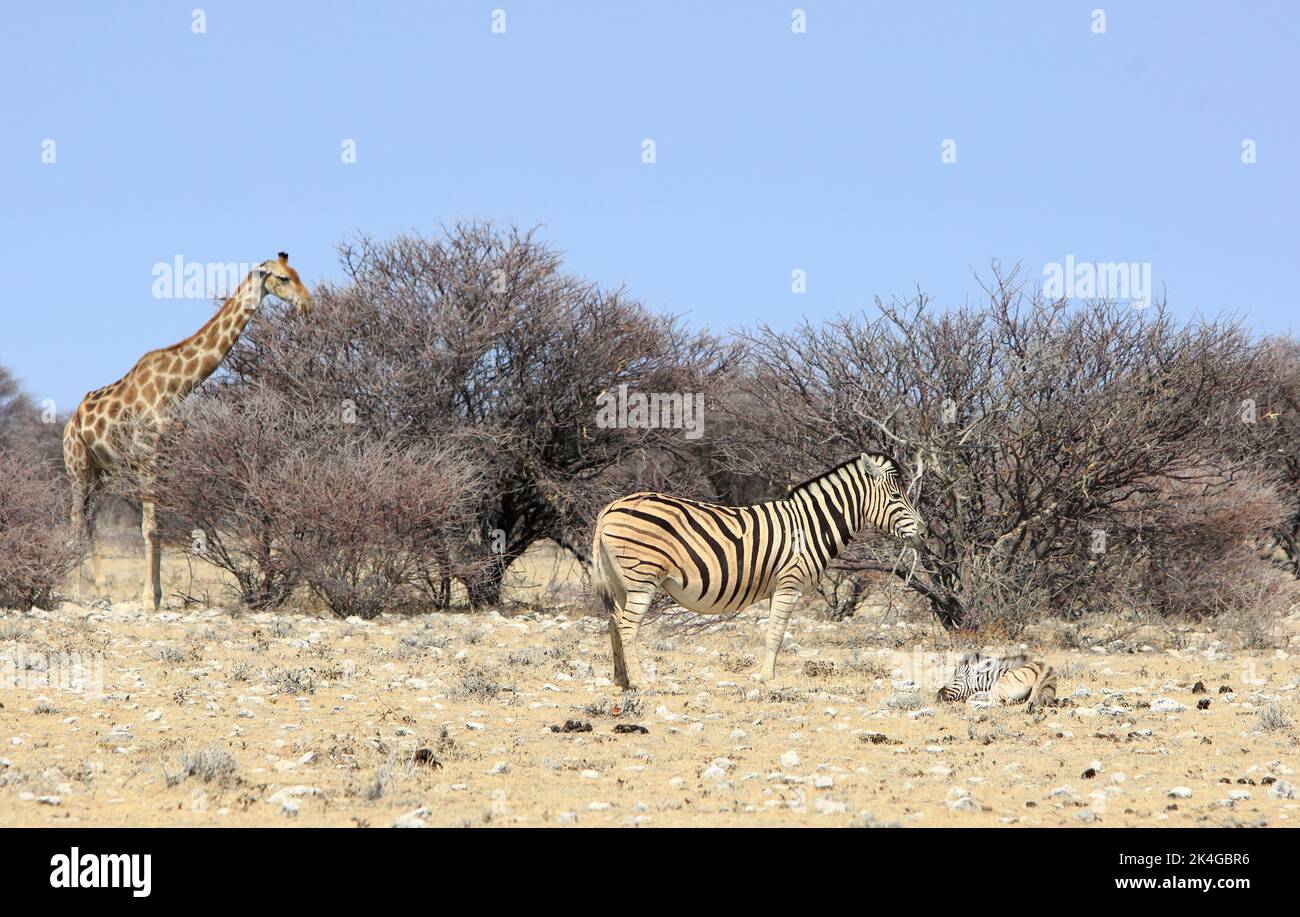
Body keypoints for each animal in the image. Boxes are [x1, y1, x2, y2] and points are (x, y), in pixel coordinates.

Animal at [63, 253, 313, 610]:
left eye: (296, 273)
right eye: (282, 278)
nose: (308, 304)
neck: (175, 388)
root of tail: (71, 422)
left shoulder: (166, 461)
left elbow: (161, 527)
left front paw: (156, 595)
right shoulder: (148, 458)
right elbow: (149, 527)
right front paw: (148, 600)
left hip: (103, 473)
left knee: (90, 519)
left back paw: (101, 588)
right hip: (78, 466)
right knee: (75, 520)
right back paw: (76, 588)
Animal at [590, 452, 924, 690]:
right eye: (896, 497)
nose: (923, 531)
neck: (809, 527)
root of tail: (609, 509)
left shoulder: (780, 586)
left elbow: (774, 633)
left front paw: (766, 674)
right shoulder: (790, 582)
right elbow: (775, 634)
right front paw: (766, 678)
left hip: (622, 582)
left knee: (614, 622)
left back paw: (621, 680)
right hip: (642, 579)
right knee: (628, 626)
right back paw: (640, 681)